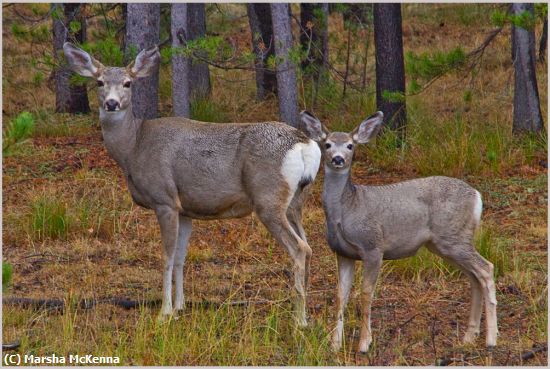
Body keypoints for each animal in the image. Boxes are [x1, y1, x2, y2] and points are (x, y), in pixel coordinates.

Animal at [63, 42, 324, 324]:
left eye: (128, 83)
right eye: (99, 82)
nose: (111, 103)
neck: (134, 147)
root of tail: (304, 144)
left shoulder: (164, 199)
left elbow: (166, 256)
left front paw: (164, 311)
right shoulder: (185, 209)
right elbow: (180, 258)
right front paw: (180, 306)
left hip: (269, 199)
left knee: (299, 248)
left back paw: (299, 320)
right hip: (296, 202)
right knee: (309, 246)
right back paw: (308, 311)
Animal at [302, 110, 500, 352]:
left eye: (350, 145)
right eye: (328, 144)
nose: (338, 159)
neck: (347, 209)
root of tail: (477, 196)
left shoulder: (373, 246)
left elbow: (366, 293)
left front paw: (364, 343)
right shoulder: (343, 253)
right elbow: (340, 295)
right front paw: (334, 344)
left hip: (454, 237)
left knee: (486, 268)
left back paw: (491, 339)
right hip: (445, 244)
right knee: (474, 276)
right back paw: (469, 337)